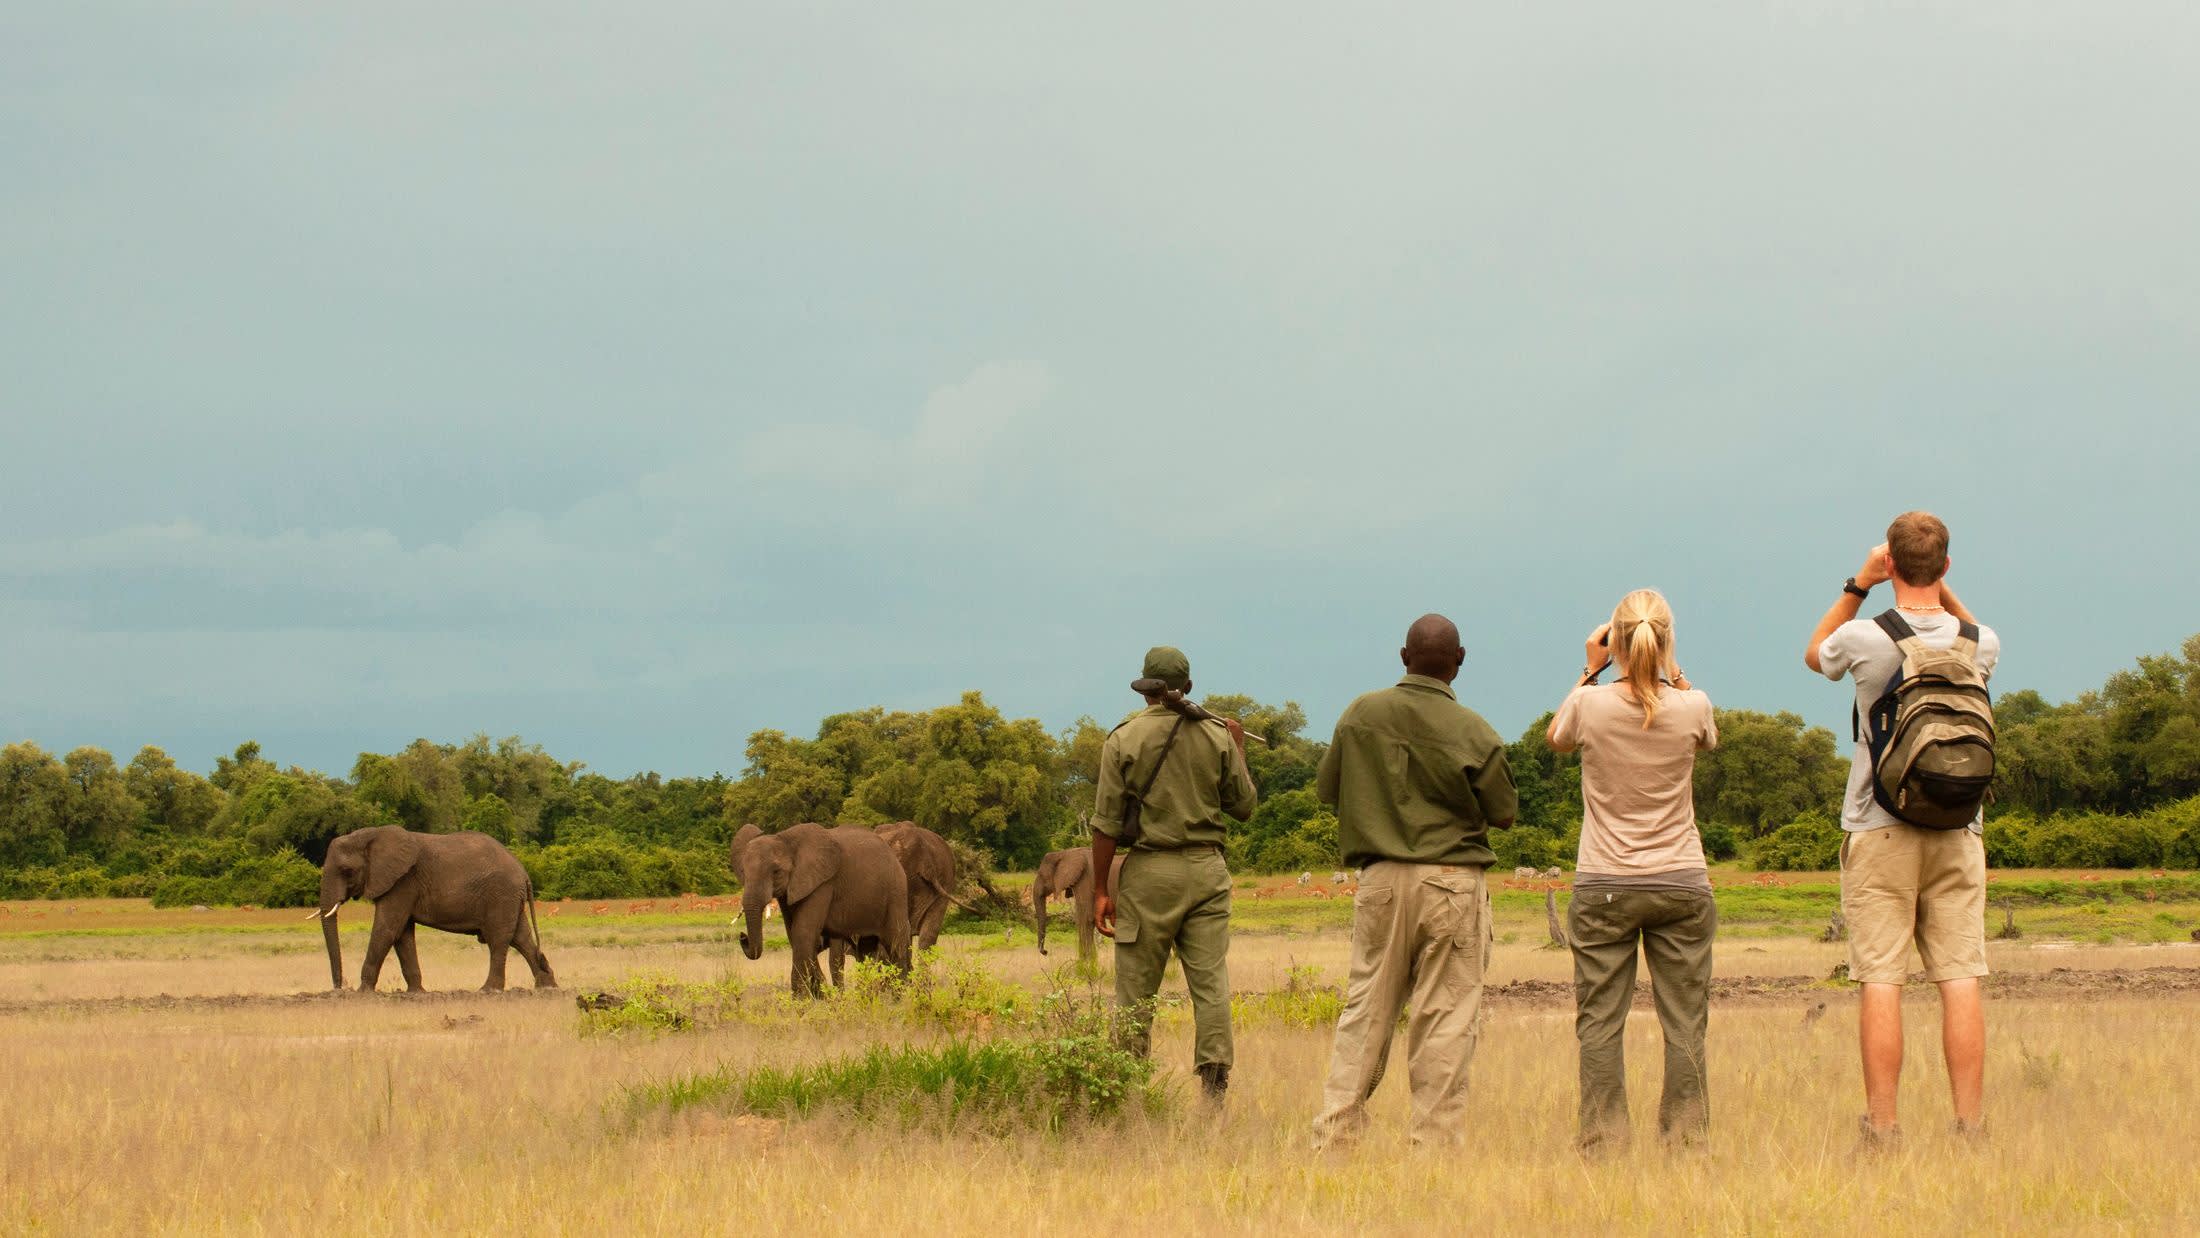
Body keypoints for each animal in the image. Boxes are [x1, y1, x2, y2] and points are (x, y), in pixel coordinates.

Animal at [317, 826, 555, 993]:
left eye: (347, 870)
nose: (339, 988)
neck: (371, 834)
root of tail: (524, 873)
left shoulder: (403, 881)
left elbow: (387, 930)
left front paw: (362, 992)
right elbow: (402, 935)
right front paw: (416, 993)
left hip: (501, 895)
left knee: (498, 939)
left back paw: (488, 990)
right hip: (509, 899)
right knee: (521, 938)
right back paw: (547, 988)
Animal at [731, 822, 911, 998]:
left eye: (776, 871)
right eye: (743, 872)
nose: (742, 936)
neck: (785, 840)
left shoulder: (823, 884)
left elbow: (803, 932)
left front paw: (801, 1001)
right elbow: (794, 934)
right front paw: (819, 996)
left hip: (896, 893)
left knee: (896, 943)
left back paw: (900, 999)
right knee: (866, 949)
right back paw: (869, 999)